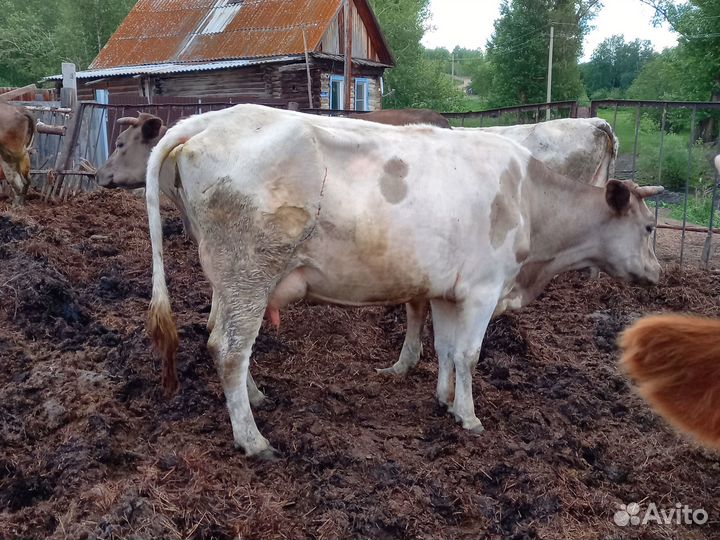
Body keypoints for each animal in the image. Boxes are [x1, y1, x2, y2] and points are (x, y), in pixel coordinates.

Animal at [142, 104, 662, 458]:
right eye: (650, 227)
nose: (659, 273)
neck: (529, 198)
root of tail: (214, 119)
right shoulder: (482, 289)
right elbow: (469, 354)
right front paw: (469, 416)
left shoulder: (448, 291)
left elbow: (447, 349)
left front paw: (445, 399)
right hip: (250, 271)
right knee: (230, 349)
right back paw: (253, 439)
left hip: (230, 280)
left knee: (223, 337)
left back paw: (255, 398)